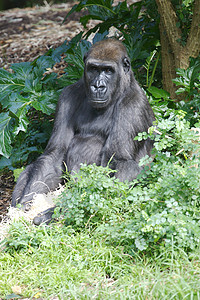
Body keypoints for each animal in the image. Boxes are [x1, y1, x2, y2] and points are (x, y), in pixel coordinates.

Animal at [11, 38, 155, 224]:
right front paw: (25, 204)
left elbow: (120, 163)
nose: (98, 86)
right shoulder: (67, 95)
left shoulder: (133, 104)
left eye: (108, 71)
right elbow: (54, 155)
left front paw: (55, 212)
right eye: (93, 69)